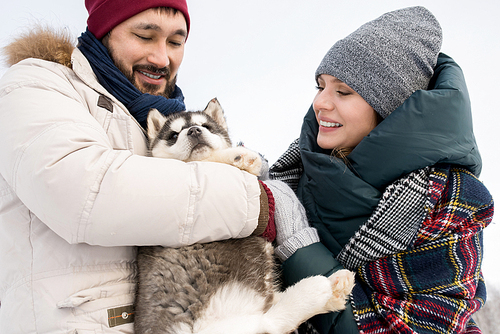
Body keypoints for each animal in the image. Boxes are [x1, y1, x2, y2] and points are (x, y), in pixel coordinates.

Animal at [134, 98, 356, 332]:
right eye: (174, 135)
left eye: (206, 126)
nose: (194, 131)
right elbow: (206, 162)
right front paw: (237, 156)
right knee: (273, 321)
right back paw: (318, 288)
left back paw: (334, 289)